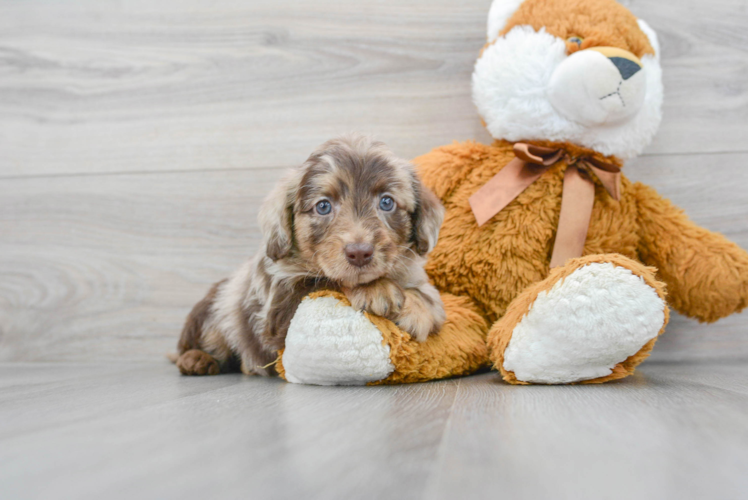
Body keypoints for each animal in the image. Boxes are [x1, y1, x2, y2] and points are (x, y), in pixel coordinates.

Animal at [174, 134, 444, 376]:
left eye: (387, 202)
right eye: (323, 206)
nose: (359, 253)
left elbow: (429, 297)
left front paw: (418, 309)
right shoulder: (280, 308)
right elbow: (326, 282)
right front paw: (375, 289)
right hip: (211, 315)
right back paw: (196, 359)